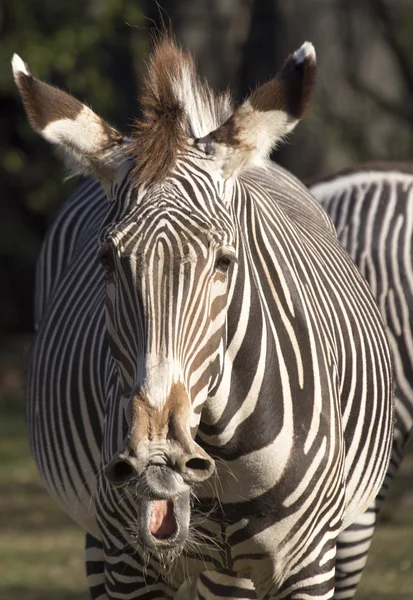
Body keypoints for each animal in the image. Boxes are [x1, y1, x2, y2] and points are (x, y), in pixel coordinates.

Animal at [13, 38, 392, 600]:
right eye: (106, 260)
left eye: (224, 262)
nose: (158, 458)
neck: (225, 457)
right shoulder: (129, 564)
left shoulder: (311, 565)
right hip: (105, 542)